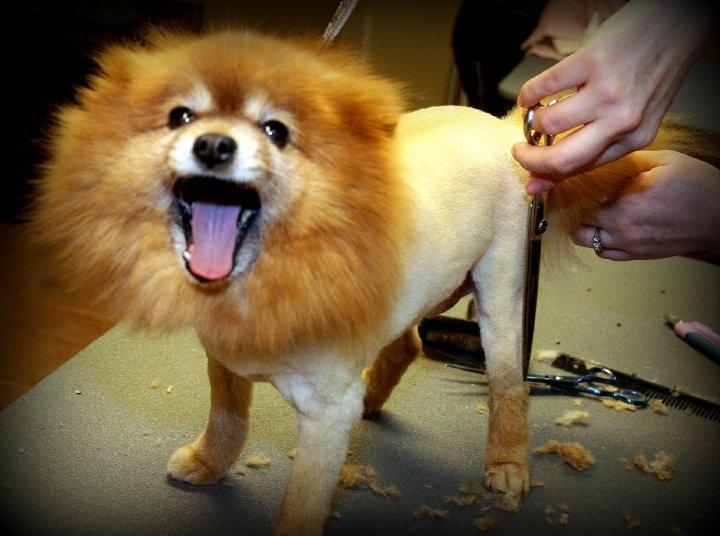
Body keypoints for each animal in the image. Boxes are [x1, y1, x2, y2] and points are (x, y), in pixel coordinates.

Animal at [29, 30, 708, 536]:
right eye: (181, 116)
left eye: (277, 131)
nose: (214, 146)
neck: (265, 285)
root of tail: (505, 128)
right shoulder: (224, 363)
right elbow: (227, 422)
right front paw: (205, 463)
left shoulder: (326, 418)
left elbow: (301, 506)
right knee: (406, 343)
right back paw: (379, 401)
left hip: (502, 294)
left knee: (508, 388)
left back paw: (507, 464)